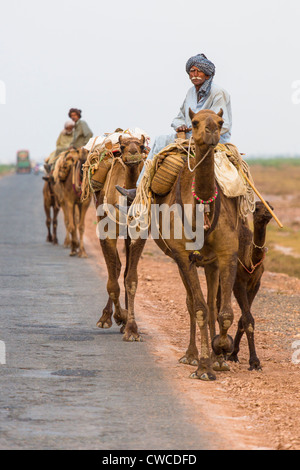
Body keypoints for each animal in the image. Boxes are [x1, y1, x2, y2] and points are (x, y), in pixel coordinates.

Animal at [92, 136, 146, 342]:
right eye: (122, 147)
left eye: (142, 146)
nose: (133, 154)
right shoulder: (106, 232)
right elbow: (112, 282)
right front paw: (119, 316)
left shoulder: (138, 234)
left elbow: (131, 280)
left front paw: (131, 328)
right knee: (115, 268)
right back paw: (106, 318)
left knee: (123, 270)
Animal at [151, 108, 240, 380]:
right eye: (195, 121)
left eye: (220, 121)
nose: (211, 131)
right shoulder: (183, 256)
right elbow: (198, 308)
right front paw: (203, 366)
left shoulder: (227, 254)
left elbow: (224, 312)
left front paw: (220, 352)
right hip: (180, 260)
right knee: (192, 303)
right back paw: (190, 355)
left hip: (210, 263)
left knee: (212, 303)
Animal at [229, 202, 274, 370]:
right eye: (256, 208)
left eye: (271, 207)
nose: (268, 214)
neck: (250, 262)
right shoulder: (238, 283)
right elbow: (248, 318)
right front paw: (254, 362)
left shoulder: (256, 284)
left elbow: (243, 318)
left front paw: (234, 354)